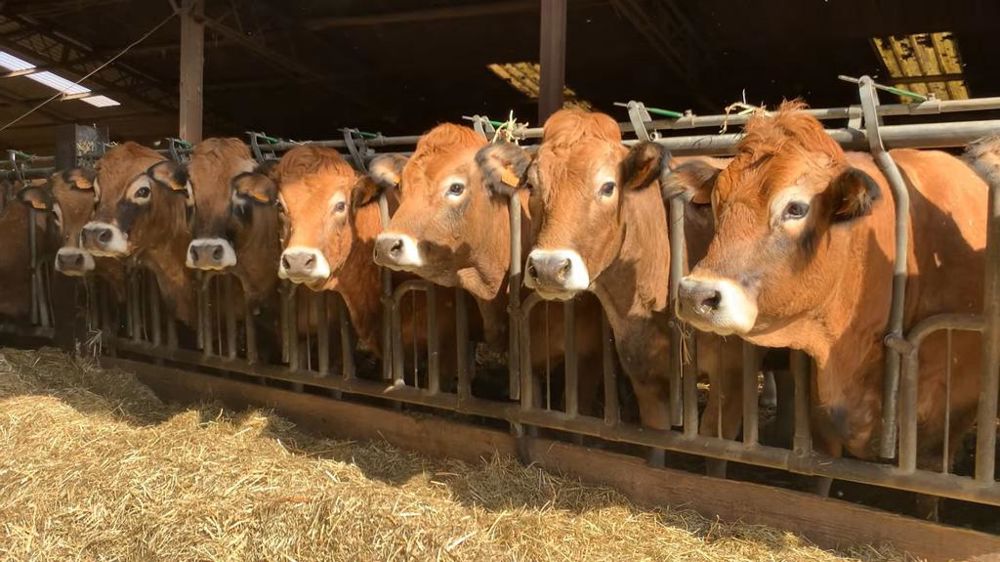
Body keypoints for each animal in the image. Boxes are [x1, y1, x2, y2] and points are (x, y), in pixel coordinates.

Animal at [674, 101, 987, 518]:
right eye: (716, 204)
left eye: (796, 208)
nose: (696, 295)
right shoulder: (820, 403)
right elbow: (821, 474)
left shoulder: (951, 414)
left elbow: (929, 493)